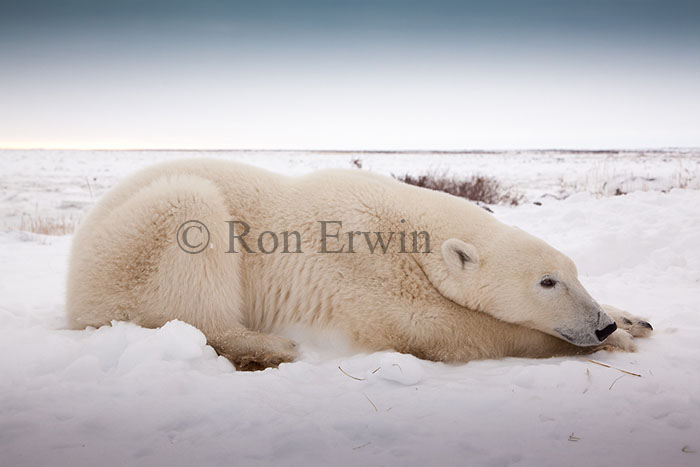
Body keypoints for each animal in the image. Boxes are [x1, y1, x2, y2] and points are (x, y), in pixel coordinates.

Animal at [66, 159, 653, 370]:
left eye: (574, 273)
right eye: (546, 282)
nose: (599, 324)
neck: (405, 225)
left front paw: (633, 318)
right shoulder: (354, 260)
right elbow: (434, 326)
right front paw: (615, 341)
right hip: (134, 245)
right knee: (190, 229)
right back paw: (270, 346)